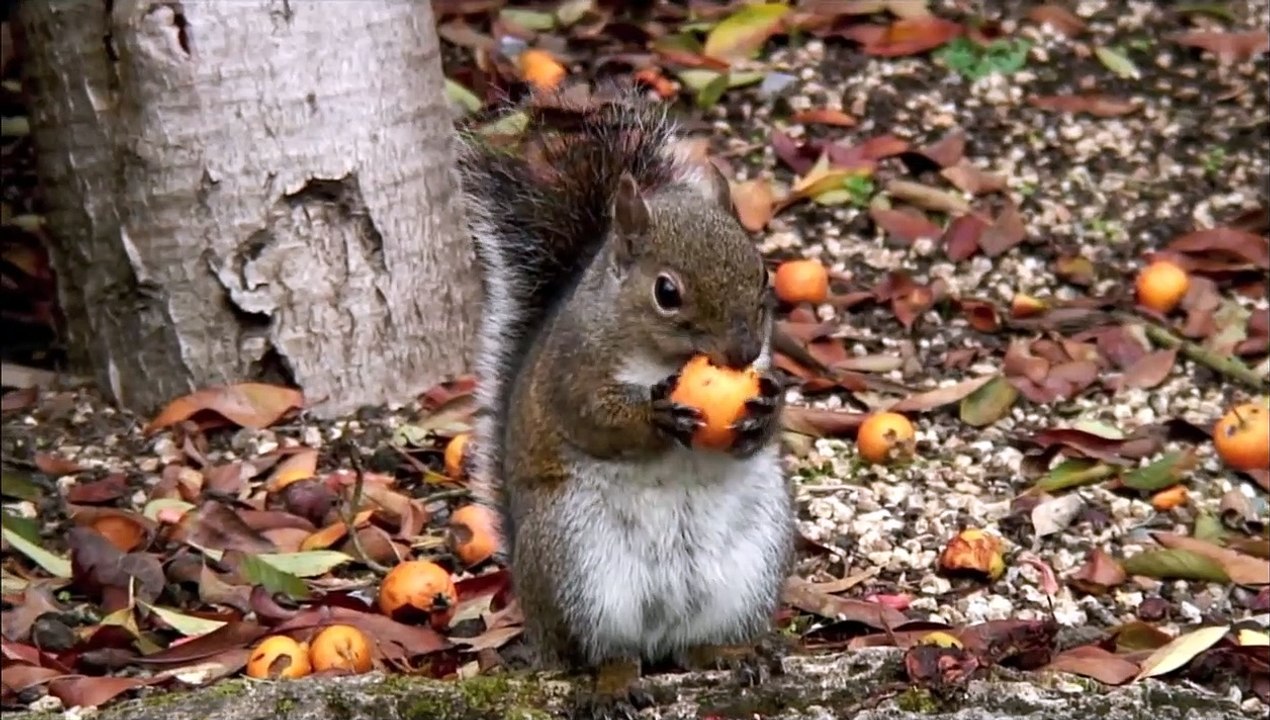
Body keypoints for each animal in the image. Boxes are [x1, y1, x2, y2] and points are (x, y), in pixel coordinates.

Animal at [456, 85, 795, 718]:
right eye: (667, 292)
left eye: (763, 271)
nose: (742, 351)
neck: (663, 360)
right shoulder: (572, 370)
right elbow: (594, 418)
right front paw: (656, 417)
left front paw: (766, 413)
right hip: (578, 567)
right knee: (604, 652)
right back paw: (614, 684)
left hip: (752, 563)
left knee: (696, 647)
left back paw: (735, 654)